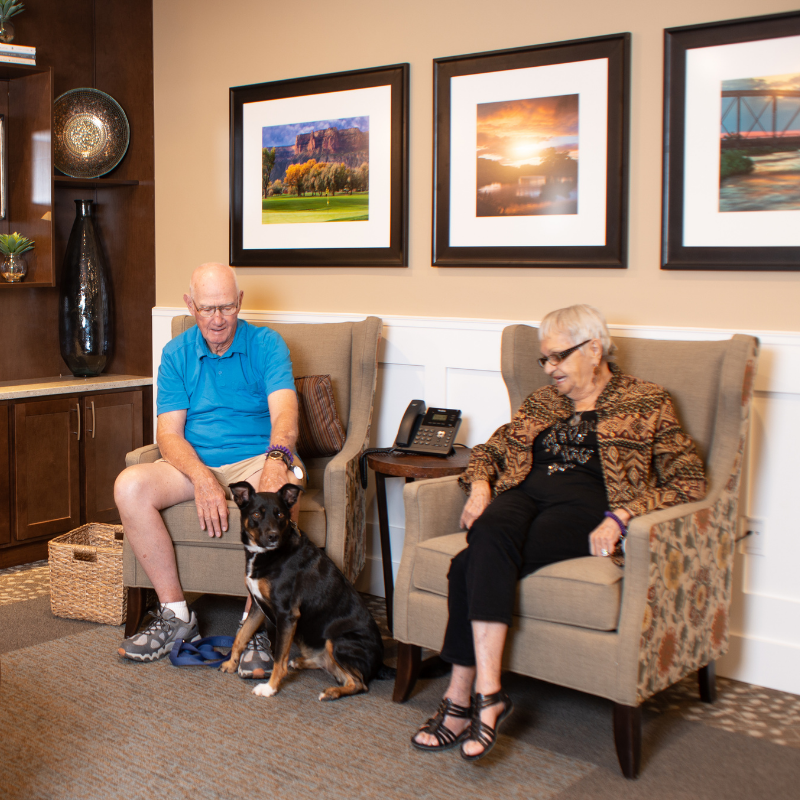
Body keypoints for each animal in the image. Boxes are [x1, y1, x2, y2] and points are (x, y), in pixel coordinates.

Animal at [219, 482, 394, 700]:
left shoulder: (287, 615)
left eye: (280, 514)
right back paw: (302, 662)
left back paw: (332, 692)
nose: (273, 536)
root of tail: (381, 663)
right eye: (257, 514)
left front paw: (270, 687)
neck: (268, 554)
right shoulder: (258, 606)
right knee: (330, 666)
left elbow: (279, 659)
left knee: (359, 683)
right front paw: (231, 664)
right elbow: (241, 636)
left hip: (337, 641)